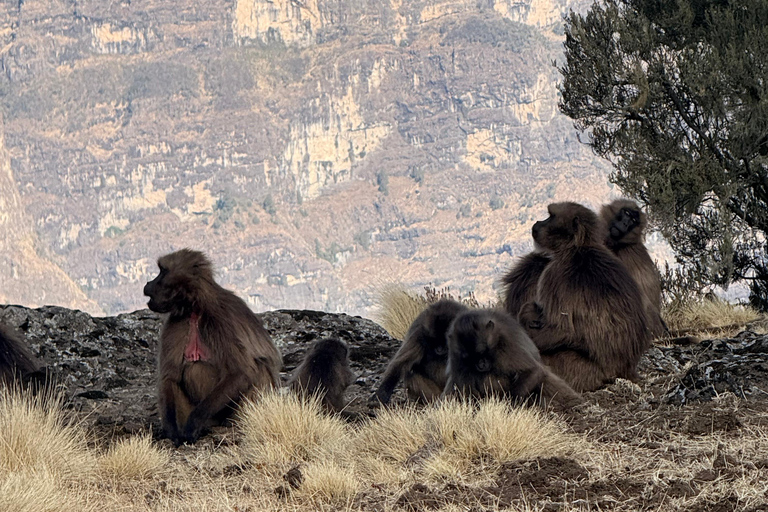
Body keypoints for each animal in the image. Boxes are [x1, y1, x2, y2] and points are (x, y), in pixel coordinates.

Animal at [144, 249, 282, 445]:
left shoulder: (223, 319)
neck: (196, 307)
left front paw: (192, 424)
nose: (148, 284)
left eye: (162, 271)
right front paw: (171, 431)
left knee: (259, 366)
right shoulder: (177, 321)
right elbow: (170, 376)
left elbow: (241, 372)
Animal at [442, 309, 583, 409]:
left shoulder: (506, 343)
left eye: (481, 351)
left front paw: (509, 404)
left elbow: (533, 370)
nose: (480, 365)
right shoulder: (455, 354)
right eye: (469, 357)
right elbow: (461, 385)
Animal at [518, 202, 652, 392]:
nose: (538, 223)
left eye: (551, 216)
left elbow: (560, 329)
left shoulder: (553, 273)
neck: (577, 246)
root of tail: (626, 371)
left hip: (579, 370)